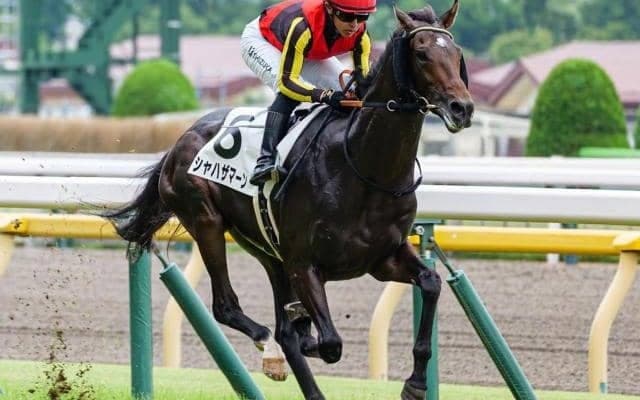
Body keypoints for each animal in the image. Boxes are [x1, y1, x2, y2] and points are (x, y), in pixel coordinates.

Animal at [106, 2, 473, 399]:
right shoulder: (304, 263)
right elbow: (327, 342)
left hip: (266, 249)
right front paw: (302, 330)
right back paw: (271, 346)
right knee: (229, 308)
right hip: (207, 222)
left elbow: (431, 284)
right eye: (421, 54)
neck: (364, 168)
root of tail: (179, 141)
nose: (461, 108)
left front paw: (416, 383)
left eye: (457, 54)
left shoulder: (383, 257)